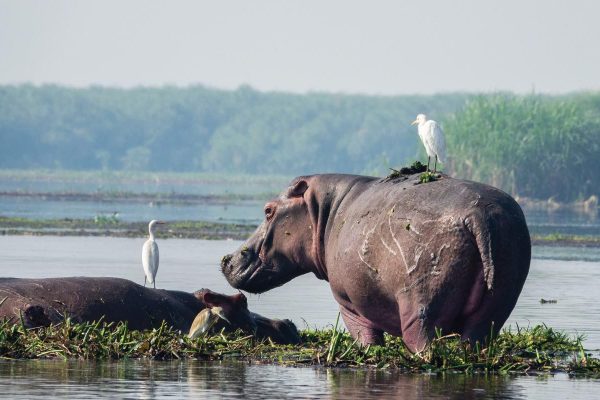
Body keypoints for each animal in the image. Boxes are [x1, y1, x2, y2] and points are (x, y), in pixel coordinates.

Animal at [223, 173, 532, 352]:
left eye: (268, 210)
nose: (227, 259)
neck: (324, 211)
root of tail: (479, 215)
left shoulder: (348, 302)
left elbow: (366, 337)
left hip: (421, 304)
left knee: (422, 339)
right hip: (496, 306)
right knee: (476, 338)